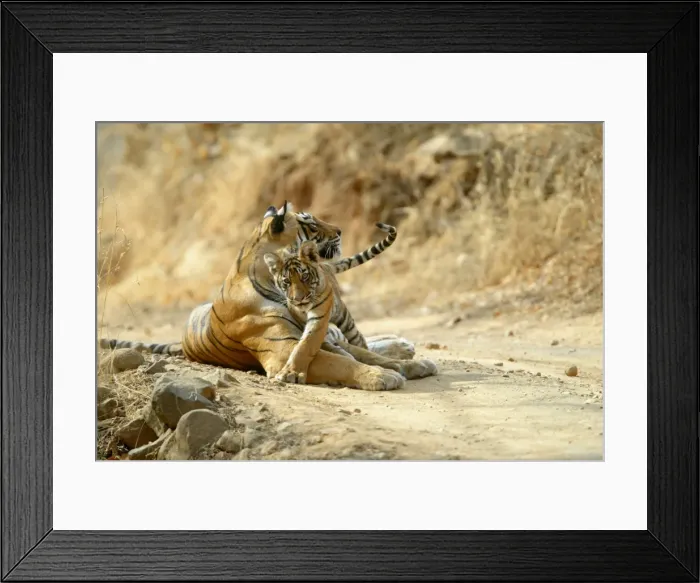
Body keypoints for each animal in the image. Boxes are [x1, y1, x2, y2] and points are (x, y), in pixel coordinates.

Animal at [263, 223, 398, 383]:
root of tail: (325, 264)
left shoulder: (319, 317)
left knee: (358, 338)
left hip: (344, 318)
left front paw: (290, 373)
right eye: (286, 281)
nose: (298, 299)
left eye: (304, 276)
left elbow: (306, 345)